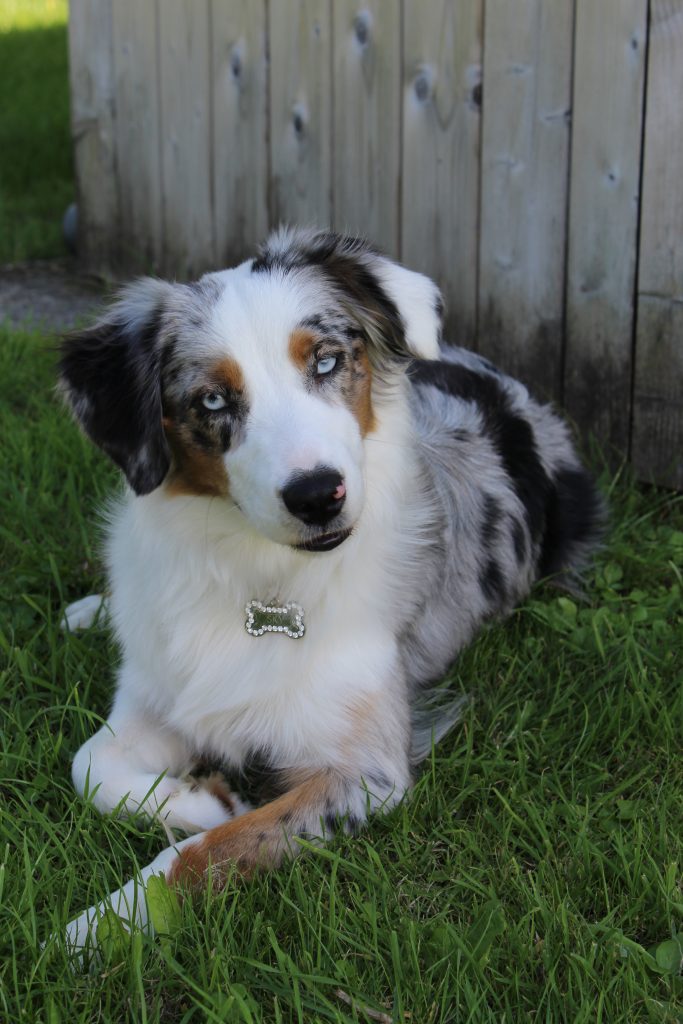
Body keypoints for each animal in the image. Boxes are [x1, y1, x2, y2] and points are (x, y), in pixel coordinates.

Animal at [58, 226, 602, 950]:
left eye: (324, 362)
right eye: (212, 400)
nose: (317, 495)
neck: (256, 573)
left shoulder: (365, 772)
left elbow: (210, 852)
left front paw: (99, 927)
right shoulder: (156, 692)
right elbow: (89, 766)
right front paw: (205, 800)